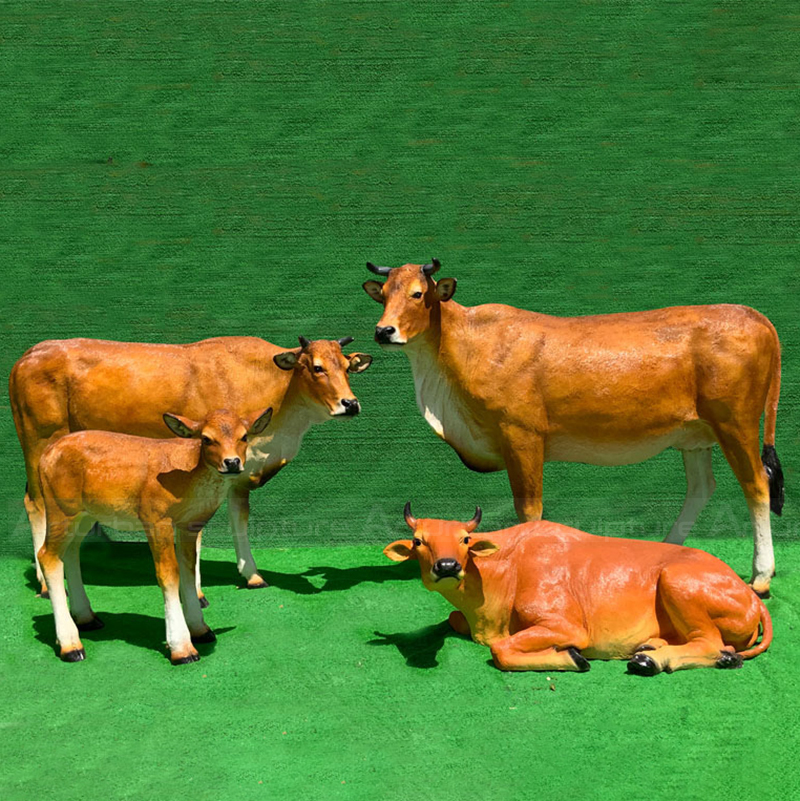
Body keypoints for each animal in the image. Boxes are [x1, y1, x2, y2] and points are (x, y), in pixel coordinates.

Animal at [10, 335, 372, 598]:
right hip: (40, 442)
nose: (350, 404)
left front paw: (252, 574)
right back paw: (44, 582)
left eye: (346, 367)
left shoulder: (239, 466)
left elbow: (239, 517)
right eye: (316, 367)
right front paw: (196, 592)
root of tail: (29, 353)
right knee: (35, 503)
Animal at [38, 407, 272, 663]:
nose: (231, 462)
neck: (188, 478)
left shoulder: (190, 523)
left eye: (244, 436)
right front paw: (182, 648)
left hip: (85, 513)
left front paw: (201, 630)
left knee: (70, 552)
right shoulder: (155, 518)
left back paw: (87, 618)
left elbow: (189, 570)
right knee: (47, 556)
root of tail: (45, 456)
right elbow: (168, 573)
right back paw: (71, 646)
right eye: (206, 439)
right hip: (60, 508)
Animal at [364, 259, 784, 596]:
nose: (383, 331)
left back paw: (761, 576)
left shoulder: (522, 434)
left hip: (736, 423)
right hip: (695, 436)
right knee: (701, 487)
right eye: (382, 295)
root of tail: (752, 314)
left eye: (418, 294)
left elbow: (529, 508)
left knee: (756, 485)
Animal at [384, 506, 772, 674]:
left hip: (677, 582)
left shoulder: (566, 625)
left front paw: (571, 657)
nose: (448, 567)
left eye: (465, 539)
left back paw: (651, 660)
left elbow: (501, 649)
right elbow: (452, 619)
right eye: (418, 541)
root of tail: (750, 594)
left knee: (709, 643)